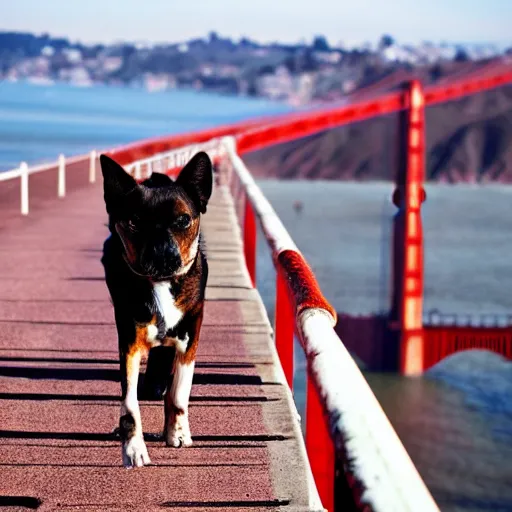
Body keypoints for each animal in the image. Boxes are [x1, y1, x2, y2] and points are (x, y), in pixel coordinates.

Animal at [100, 151, 212, 468]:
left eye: (183, 220)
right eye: (135, 221)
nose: (163, 254)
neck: (161, 283)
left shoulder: (191, 336)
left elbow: (179, 394)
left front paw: (178, 433)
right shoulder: (128, 340)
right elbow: (129, 405)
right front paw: (133, 449)